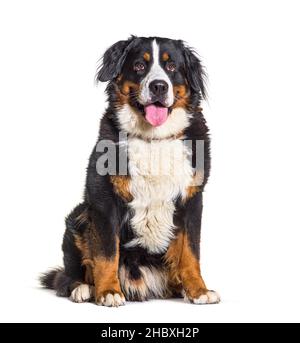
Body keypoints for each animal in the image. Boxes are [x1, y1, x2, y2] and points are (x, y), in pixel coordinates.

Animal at [40, 36, 220, 308]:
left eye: (172, 67)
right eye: (139, 66)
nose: (158, 86)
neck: (153, 140)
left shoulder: (192, 199)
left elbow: (190, 252)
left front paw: (199, 290)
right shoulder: (104, 199)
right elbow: (106, 253)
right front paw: (108, 291)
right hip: (78, 217)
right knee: (66, 275)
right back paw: (83, 288)